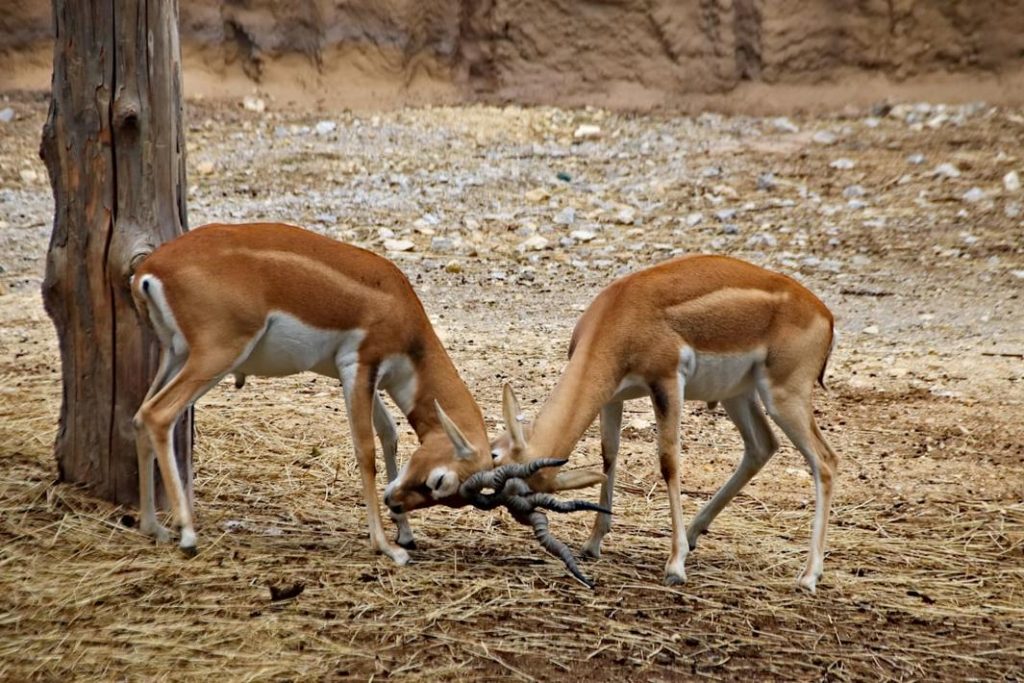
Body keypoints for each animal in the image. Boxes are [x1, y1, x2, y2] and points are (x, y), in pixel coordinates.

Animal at [130, 222, 499, 563]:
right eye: (440, 481)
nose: (393, 501)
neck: (400, 308)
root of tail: (150, 269)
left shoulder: (369, 378)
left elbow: (389, 434)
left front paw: (405, 534)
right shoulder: (358, 366)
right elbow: (365, 449)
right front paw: (386, 547)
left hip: (175, 354)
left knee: (139, 417)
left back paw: (153, 527)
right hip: (216, 355)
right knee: (158, 414)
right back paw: (186, 534)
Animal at [490, 254, 838, 592]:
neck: (619, 314)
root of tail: (824, 314)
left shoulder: (667, 383)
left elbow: (669, 462)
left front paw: (675, 566)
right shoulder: (611, 396)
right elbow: (609, 456)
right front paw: (592, 543)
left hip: (783, 396)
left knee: (825, 461)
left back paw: (809, 576)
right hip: (738, 394)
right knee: (762, 446)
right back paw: (696, 532)